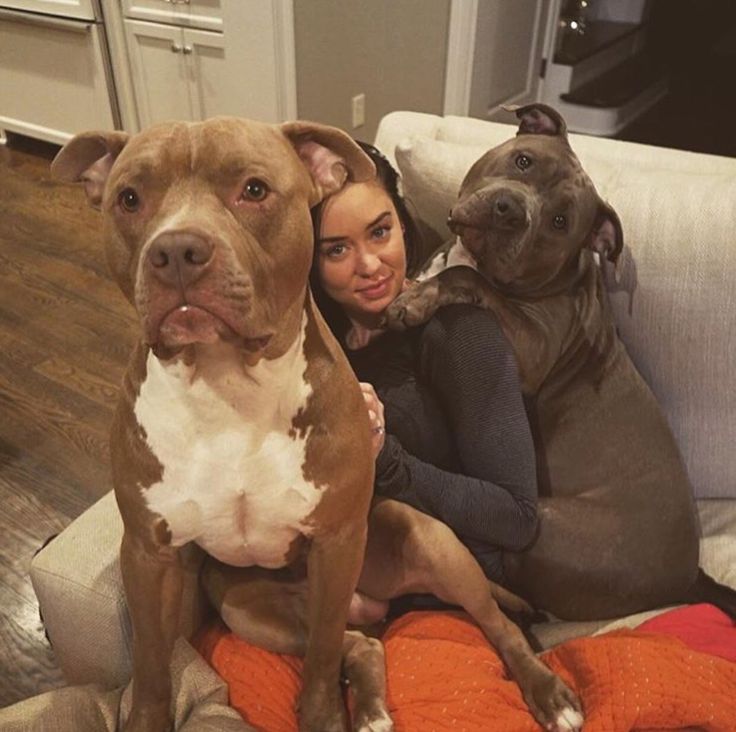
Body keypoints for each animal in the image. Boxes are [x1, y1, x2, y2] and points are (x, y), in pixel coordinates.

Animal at [51, 117, 584, 732]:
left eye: (254, 190)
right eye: (130, 198)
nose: (176, 250)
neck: (228, 385)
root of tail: (375, 606)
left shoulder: (337, 542)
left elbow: (324, 657)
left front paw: (325, 714)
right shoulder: (148, 555)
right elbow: (152, 665)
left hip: (428, 542)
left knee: (491, 622)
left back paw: (547, 693)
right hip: (248, 609)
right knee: (361, 643)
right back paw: (371, 706)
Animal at [386, 104, 736, 624]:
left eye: (558, 221)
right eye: (524, 161)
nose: (510, 210)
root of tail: (687, 579)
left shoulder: (531, 349)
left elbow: (466, 277)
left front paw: (418, 300)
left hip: (547, 528)